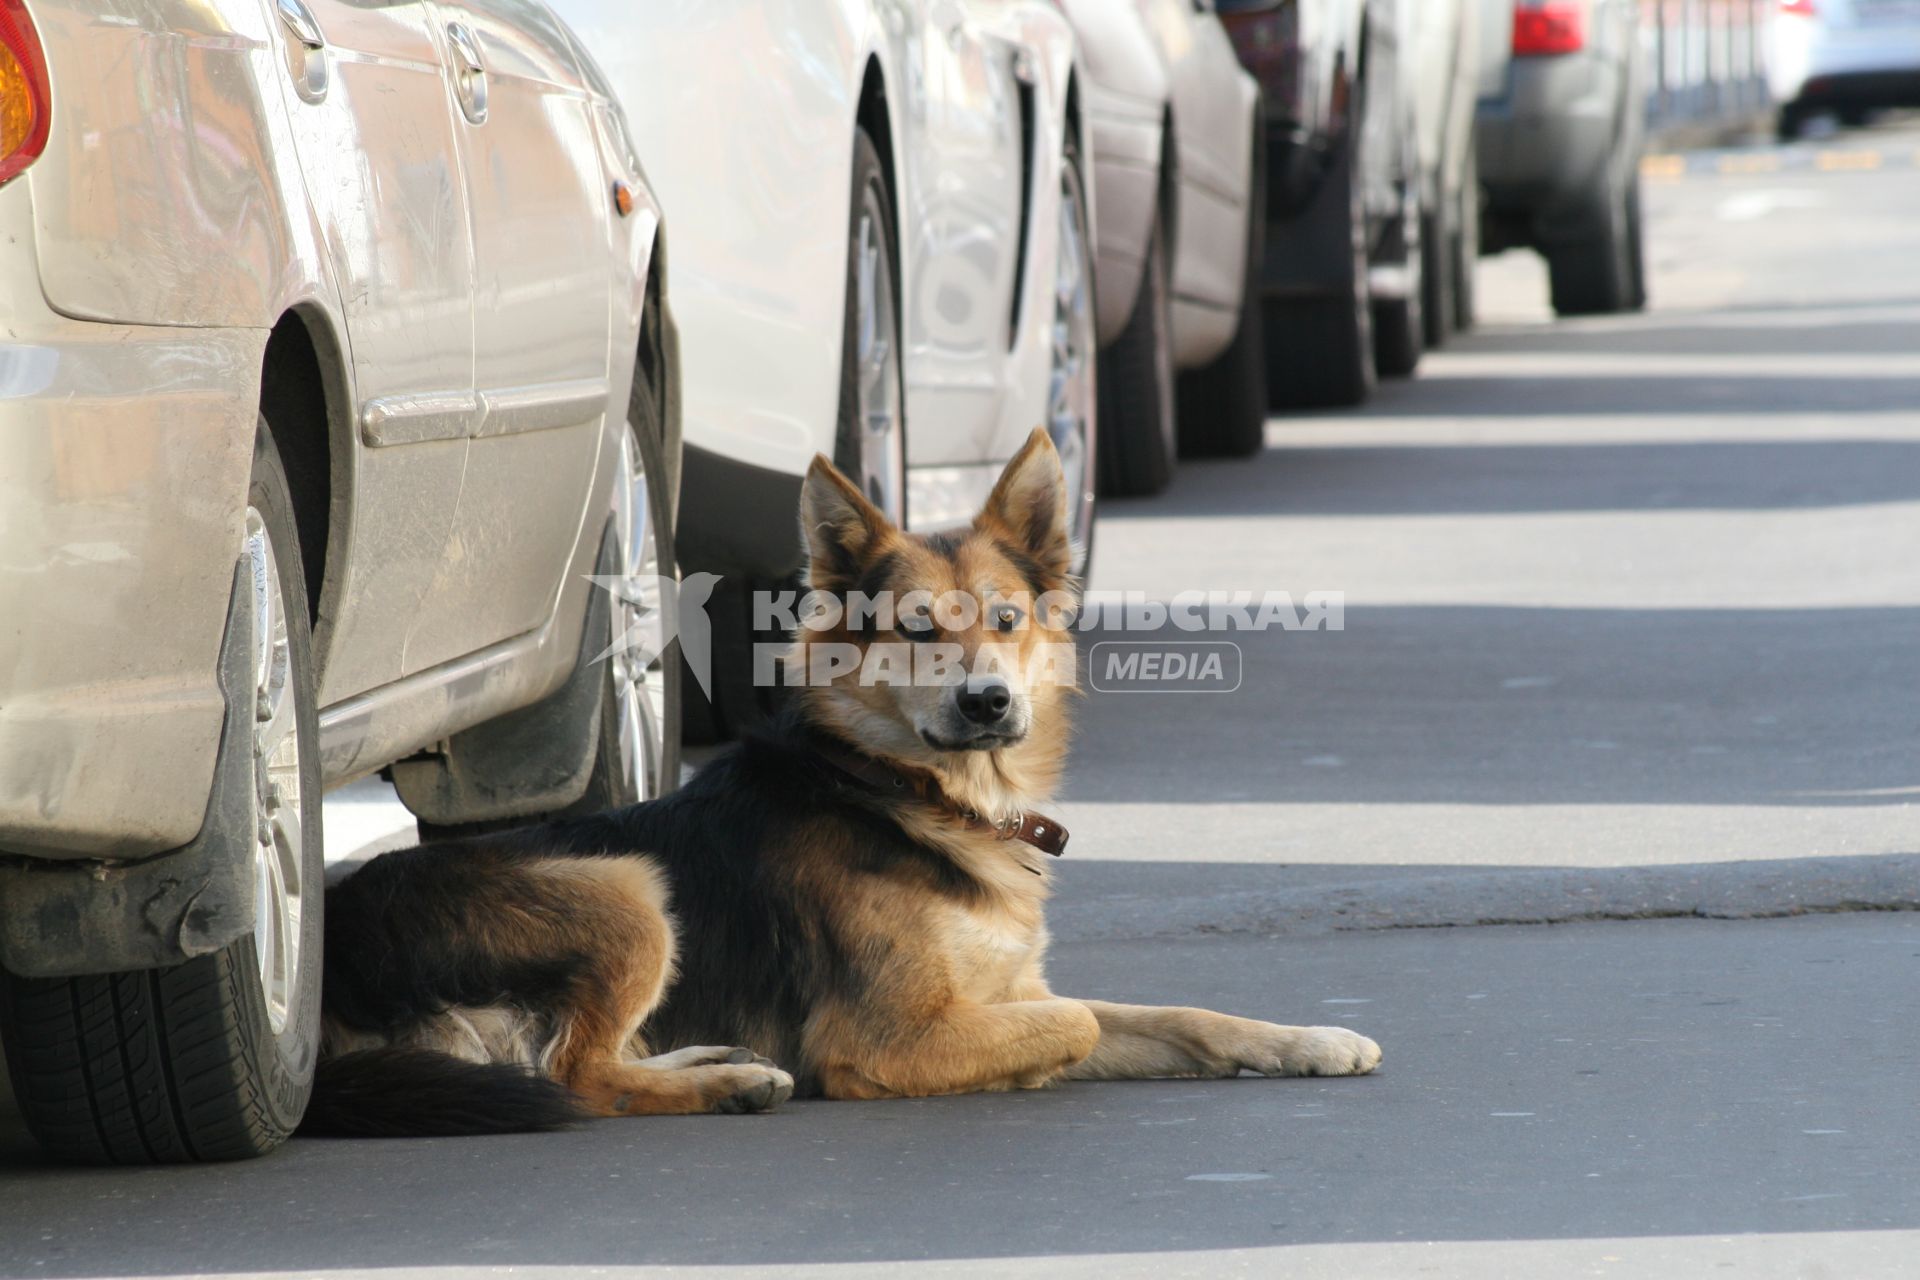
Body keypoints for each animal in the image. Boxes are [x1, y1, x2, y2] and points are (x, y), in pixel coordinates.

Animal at [307, 433, 1374, 1143]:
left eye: (1006, 618)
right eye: (915, 628)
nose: (988, 702)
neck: (911, 792)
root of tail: (333, 952)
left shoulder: (1009, 988)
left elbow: (1178, 1016)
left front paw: (1310, 1040)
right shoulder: (894, 1035)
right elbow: (1069, 1024)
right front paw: (1024, 1074)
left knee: (592, 1059)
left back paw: (719, 1062)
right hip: (628, 889)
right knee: (576, 1073)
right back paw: (721, 1087)